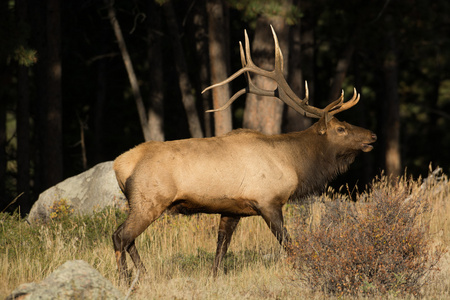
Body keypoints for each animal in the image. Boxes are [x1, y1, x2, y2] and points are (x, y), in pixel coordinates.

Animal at [112, 25, 376, 282]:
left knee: (128, 239)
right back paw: (124, 280)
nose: (372, 135)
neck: (294, 164)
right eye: (341, 129)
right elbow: (288, 243)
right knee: (120, 236)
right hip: (149, 200)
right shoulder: (268, 201)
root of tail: (119, 165)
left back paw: (144, 275)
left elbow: (221, 248)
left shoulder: (231, 209)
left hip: (140, 203)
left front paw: (213, 278)